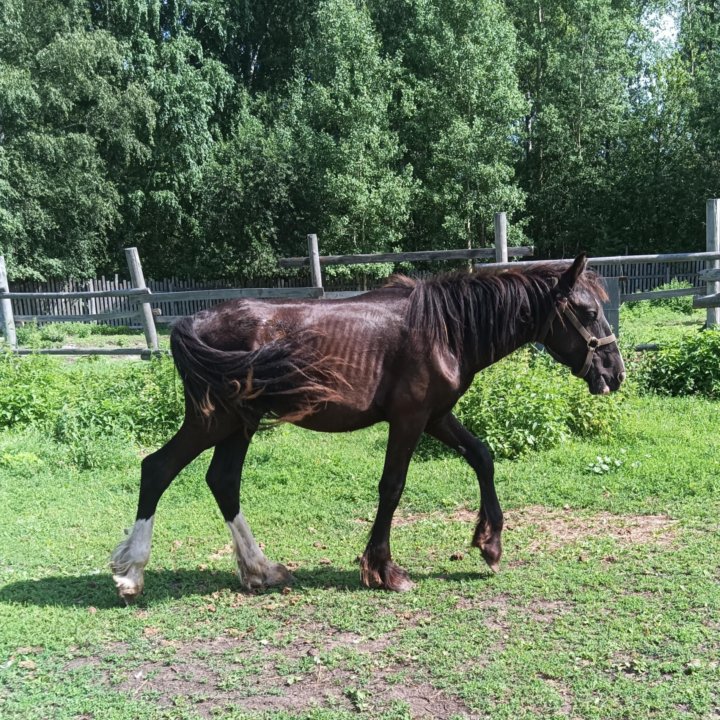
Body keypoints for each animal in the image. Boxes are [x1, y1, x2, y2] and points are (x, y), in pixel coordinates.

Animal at [111, 253, 624, 600]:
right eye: (588, 313)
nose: (615, 374)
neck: (444, 329)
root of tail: (193, 321)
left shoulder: (436, 416)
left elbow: (482, 456)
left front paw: (489, 544)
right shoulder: (410, 420)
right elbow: (392, 487)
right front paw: (384, 570)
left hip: (238, 425)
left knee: (222, 481)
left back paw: (260, 570)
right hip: (216, 422)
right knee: (158, 468)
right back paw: (131, 574)